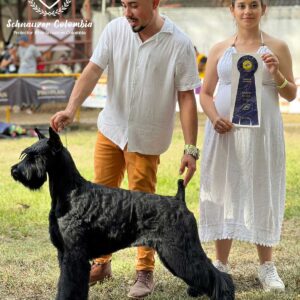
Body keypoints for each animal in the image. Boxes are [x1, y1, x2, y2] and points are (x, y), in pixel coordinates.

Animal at [10, 127, 234, 298]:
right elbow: (65, 283)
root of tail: (179, 199)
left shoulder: (74, 255)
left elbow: (69, 286)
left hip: (180, 250)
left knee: (214, 273)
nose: (15, 171)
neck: (70, 192)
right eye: (26, 153)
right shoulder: (64, 253)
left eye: (36, 156)